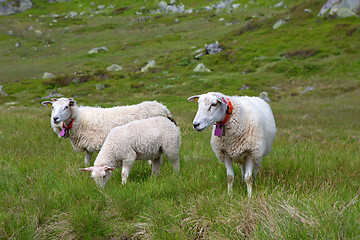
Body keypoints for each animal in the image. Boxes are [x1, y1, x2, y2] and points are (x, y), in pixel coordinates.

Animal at [40, 97, 173, 165]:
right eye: (53, 107)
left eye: (66, 107)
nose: (55, 118)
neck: (76, 119)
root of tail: (163, 108)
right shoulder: (87, 145)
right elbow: (86, 161)